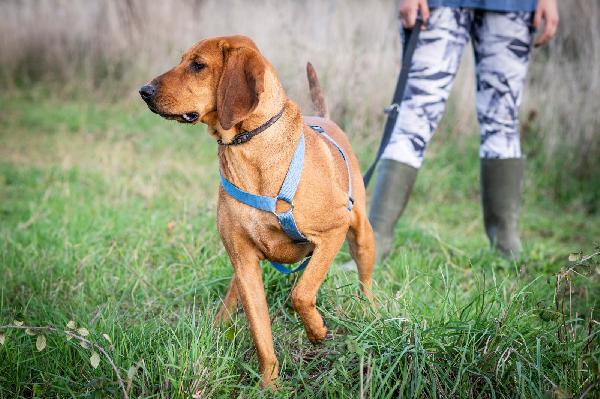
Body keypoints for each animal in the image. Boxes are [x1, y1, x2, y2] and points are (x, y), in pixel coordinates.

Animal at [141, 36, 376, 390]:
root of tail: (326, 118)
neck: (248, 147)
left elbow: (301, 293)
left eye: (198, 65)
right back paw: (218, 325)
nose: (144, 90)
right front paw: (270, 385)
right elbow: (260, 333)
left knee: (366, 282)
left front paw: (317, 331)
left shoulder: (333, 231)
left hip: (362, 236)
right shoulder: (246, 262)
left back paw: (375, 314)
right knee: (233, 294)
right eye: (182, 60)